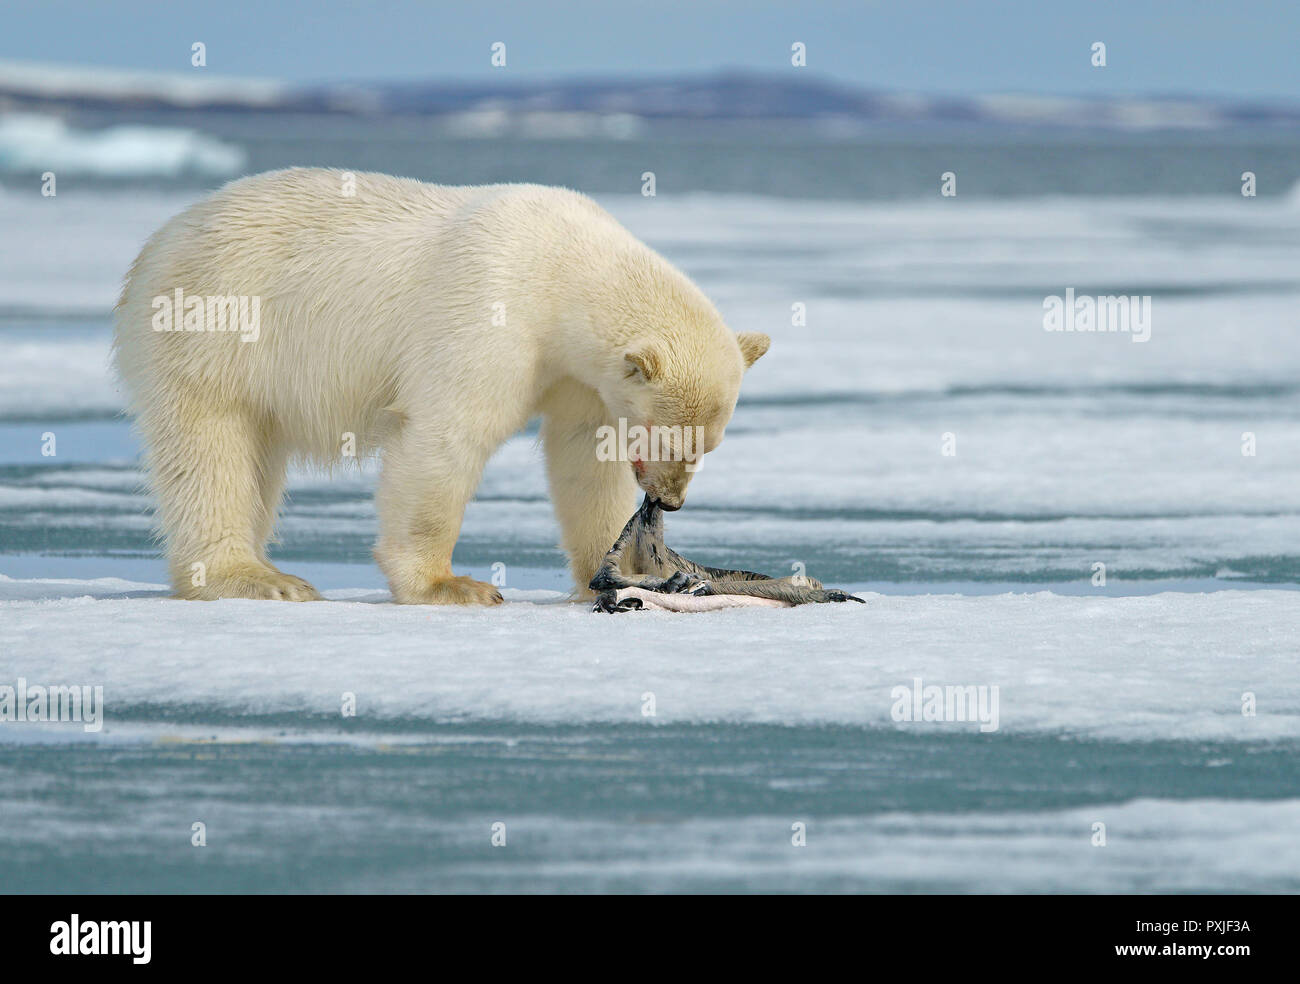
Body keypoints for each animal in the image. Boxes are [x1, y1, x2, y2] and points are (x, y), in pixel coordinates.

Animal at [111, 165, 764, 603]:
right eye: (670, 438)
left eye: (709, 446)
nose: (671, 500)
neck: (564, 268)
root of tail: (158, 242)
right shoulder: (490, 312)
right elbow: (447, 435)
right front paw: (452, 585)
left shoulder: (578, 374)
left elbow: (583, 457)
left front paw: (620, 572)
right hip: (215, 326)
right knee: (210, 451)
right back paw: (255, 579)